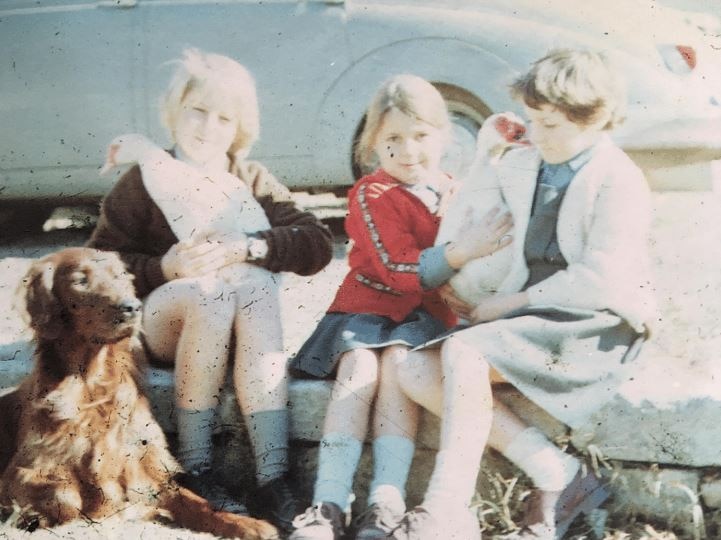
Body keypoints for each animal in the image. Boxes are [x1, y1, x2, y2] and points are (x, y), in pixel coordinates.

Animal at [0, 247, 278, 536]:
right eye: (80, 281)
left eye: (119, 275)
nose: (132, 307)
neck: (93, 385)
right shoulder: (21, 472)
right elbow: (65, 494)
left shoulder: (145, 465)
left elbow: (198, 504)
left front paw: (248, 524)